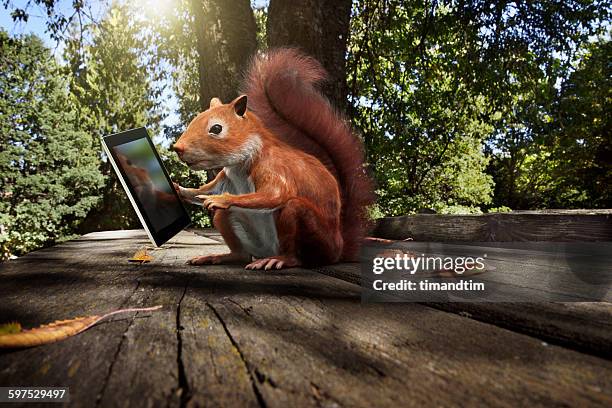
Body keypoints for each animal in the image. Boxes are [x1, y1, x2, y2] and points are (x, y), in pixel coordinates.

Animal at [173, 47, 372, 270]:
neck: (238, 165)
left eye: (216, 128)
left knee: (297, 248)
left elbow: (276, 193)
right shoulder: (226, 177)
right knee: (241, 253)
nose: (177, 148)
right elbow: (205, 191)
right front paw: (178, 188)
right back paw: (219, 256)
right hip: (227, 220)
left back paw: (280, 259)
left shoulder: (273, 166)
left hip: (307, 226)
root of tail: (340, 248)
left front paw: (222, 199)